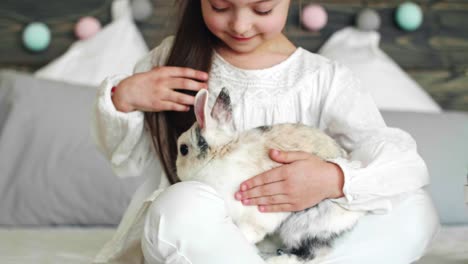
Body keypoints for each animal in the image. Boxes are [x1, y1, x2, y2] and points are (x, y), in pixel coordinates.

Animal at [176, 88, 366, 262]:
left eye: (183, 149)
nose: (176, 168)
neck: (220, 153)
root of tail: (355, 216)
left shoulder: (254, 213)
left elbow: (249, 232)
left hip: (301, 225)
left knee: (313, 253)